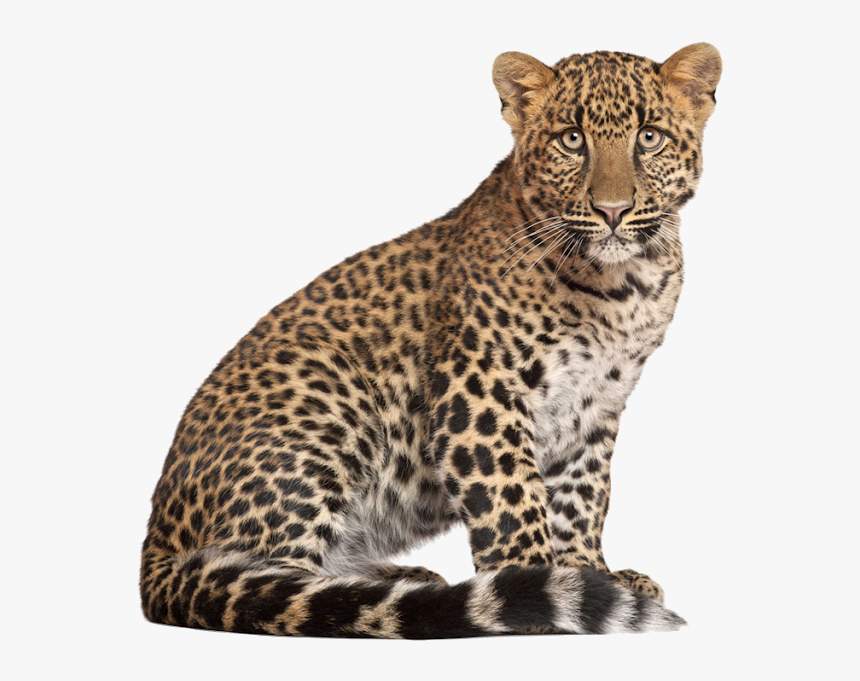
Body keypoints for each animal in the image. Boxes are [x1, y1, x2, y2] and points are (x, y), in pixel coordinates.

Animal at [141, 43, 721, 638]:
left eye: (648, 137)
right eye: (571, 139)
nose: (612, 210)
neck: (623, 286)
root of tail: (155, 547)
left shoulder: (596, 404)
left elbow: (583, 496)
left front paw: (590, 574)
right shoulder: (480, 387)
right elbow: (511, 495)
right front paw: (540, 584)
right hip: (329, 392)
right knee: (267, 586)